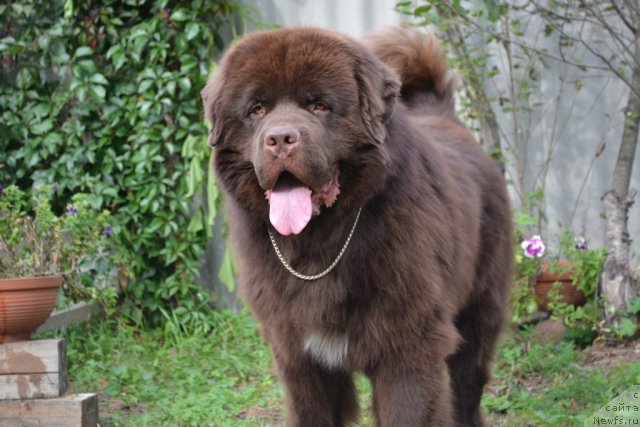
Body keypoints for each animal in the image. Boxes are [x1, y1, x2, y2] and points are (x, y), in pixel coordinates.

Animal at [202, 27, 512, 427]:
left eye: (319, 106)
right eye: (257, 110)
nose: (280, 139)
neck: (319, 245)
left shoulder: (408, 346)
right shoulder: (300, 359)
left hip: (479, 310)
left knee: (467, 384)